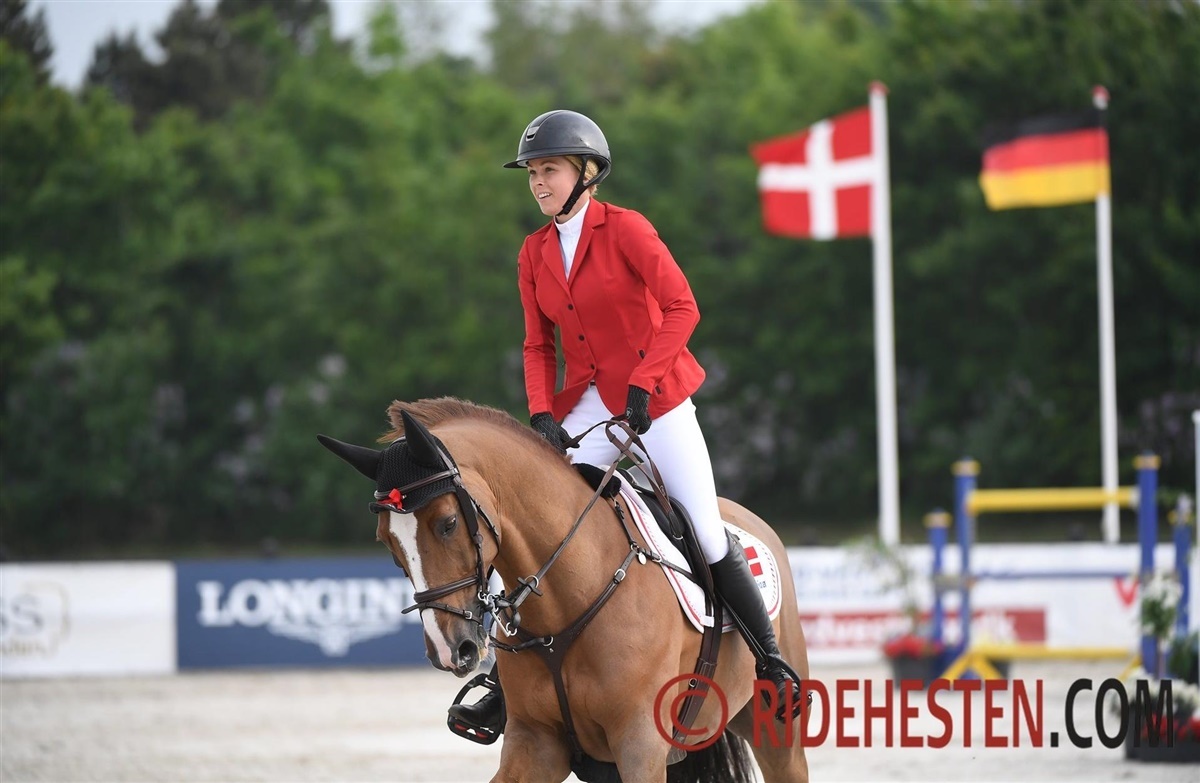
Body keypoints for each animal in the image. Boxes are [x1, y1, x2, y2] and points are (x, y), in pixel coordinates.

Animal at [319, 397, 810, 783]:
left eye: (448, 523)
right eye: (387, 542)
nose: (449, 650)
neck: (567, 596)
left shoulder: (639, 745)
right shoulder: (535, 745)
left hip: (775, 735)